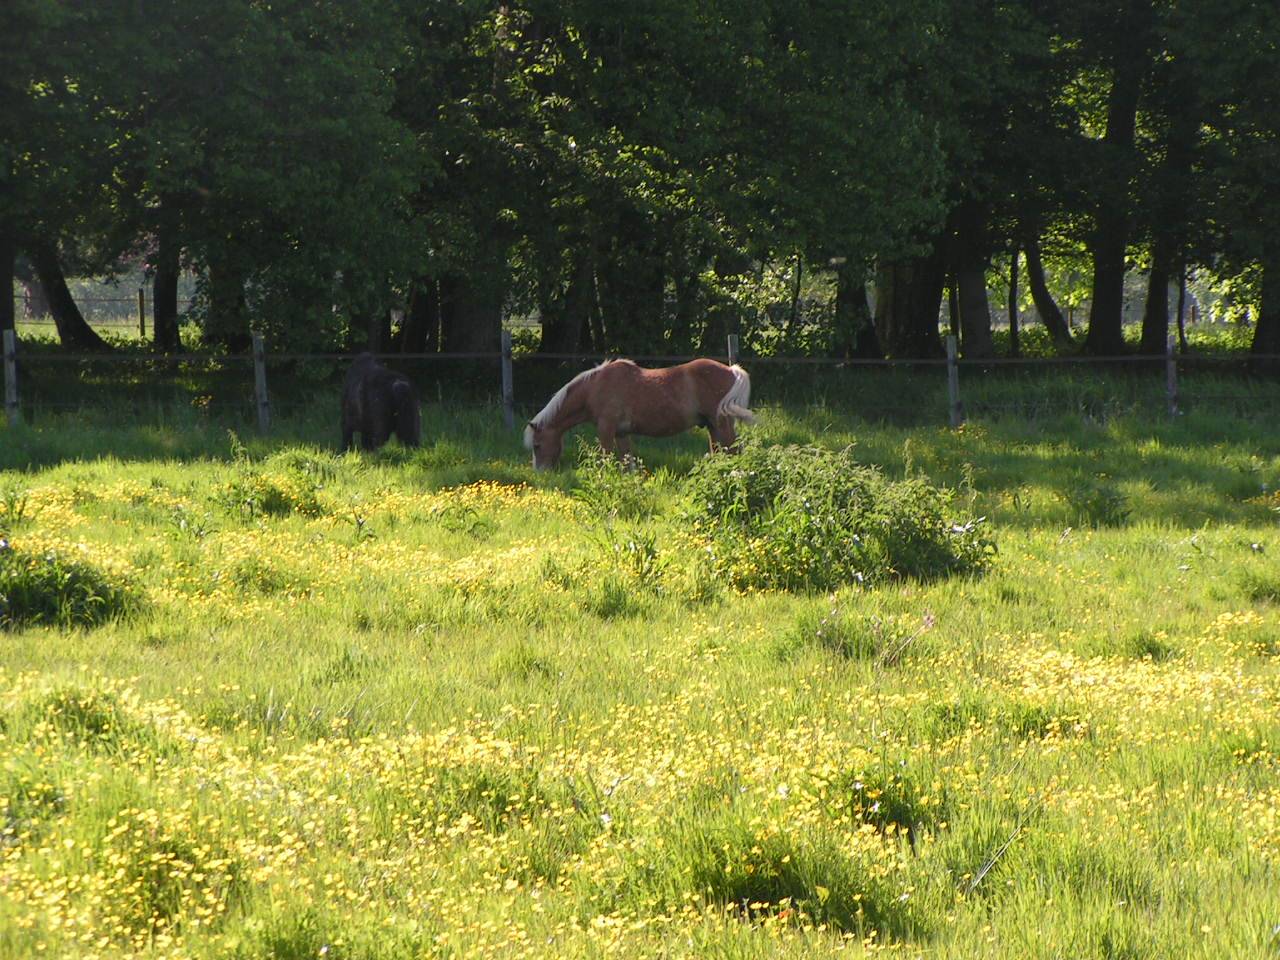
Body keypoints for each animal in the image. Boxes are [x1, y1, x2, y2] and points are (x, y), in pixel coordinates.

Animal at [523, 358, 756, 470]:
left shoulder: (606, 430)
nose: (540, 473)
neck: (595, 387)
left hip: (722, 425)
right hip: (712, 427)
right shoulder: (621, 434)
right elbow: (628, 463)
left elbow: (606, 459)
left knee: (735, 452)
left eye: (537, 446)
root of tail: (731, 370)